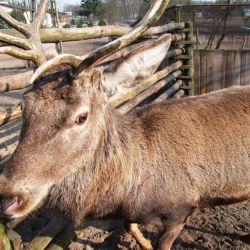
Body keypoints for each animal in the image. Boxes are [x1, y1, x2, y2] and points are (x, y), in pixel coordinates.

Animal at [0, 0, 249, 248]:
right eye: (24, 105)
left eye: (82, 116)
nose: (7, 198)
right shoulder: (132, 212)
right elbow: (130, 225)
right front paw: (143, 242)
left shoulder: (182, 208)